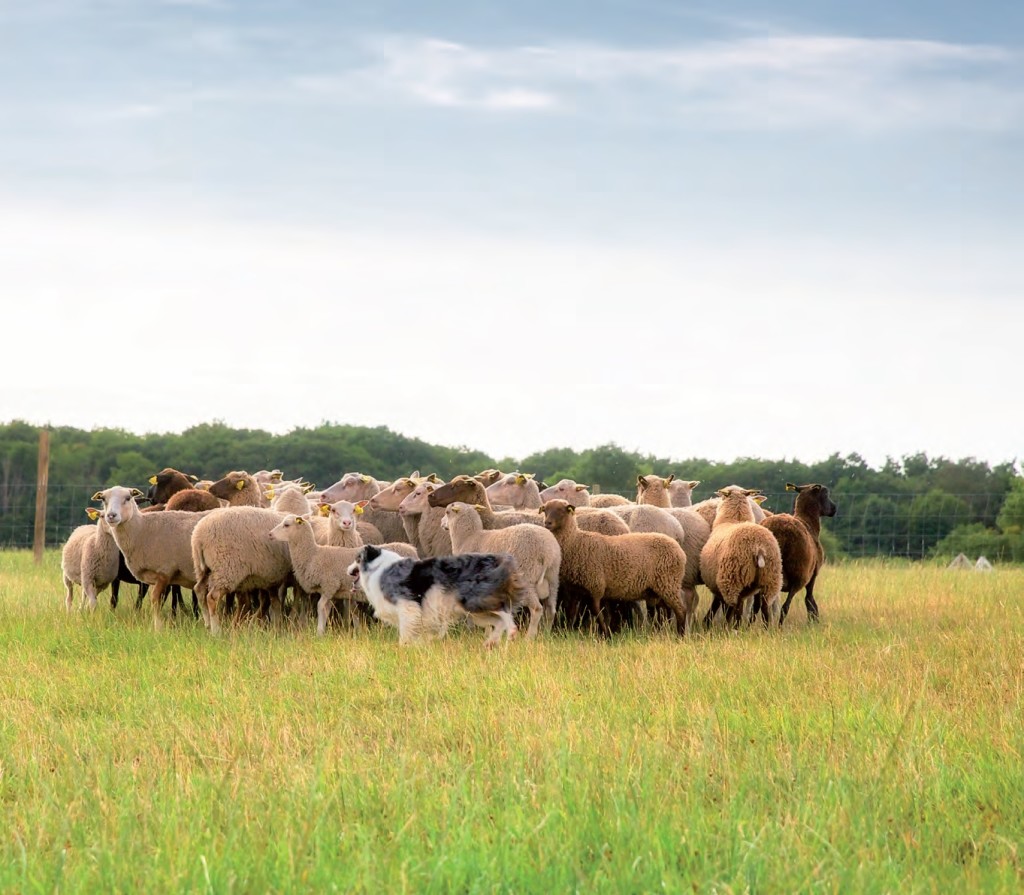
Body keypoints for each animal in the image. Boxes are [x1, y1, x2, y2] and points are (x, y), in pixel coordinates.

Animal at [92, 487, 211, 626]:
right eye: (103, 499)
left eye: (128, 498)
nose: (111, 516)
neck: (143, 528)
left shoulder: (164, 572)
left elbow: (155, 600)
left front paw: (158, 625)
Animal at [350, 540, 524, 647]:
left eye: (356, 558)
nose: (348, 569)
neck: (377, 568)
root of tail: (495, 560)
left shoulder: (407, 607)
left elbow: (404, 636)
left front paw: (403, 650)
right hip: (476, 613)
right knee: (498, 621)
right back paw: (491, 643)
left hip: (475, 600)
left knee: (505, 611)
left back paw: (511, 634)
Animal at [438, 501, 557, 634]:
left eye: (447, 512)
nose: (441, 523)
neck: (469, 537)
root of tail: (546, 551)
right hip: (553, 577)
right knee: (551, 609)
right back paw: (545, 634)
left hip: (526, 576)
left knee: (537, 609)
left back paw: (529, 636)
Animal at [696, 487, 782, 626]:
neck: (734, 520)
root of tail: (758, 547)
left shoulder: (717, 581)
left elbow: (719, 605)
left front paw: (708, 622)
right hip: (769, 578)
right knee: (764, 606)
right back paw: (766, 628)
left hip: (733, 578)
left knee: (735, 607)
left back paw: (732, 627)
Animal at [765, 481, 835, 622]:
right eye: (826, 494)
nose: (834, 509)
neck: (808, 522)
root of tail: (779, 532)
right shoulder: (813, 574)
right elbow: (810, 601)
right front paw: (813, 621)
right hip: (798, 574)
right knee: (785, 607)